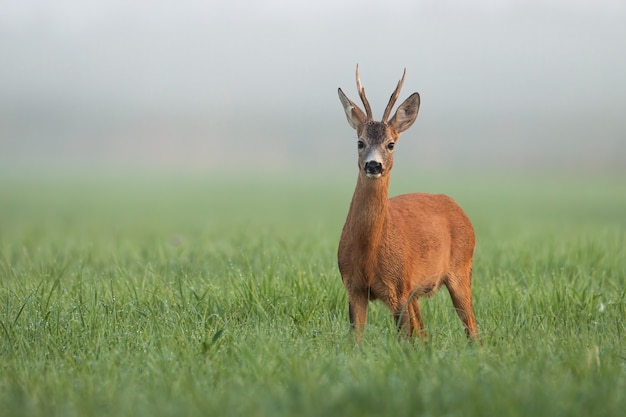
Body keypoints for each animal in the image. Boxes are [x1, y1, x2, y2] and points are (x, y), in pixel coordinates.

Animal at [336, 66, 478, 342]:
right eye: (360, 142)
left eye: (391, 144)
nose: (373, 165)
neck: (368, 253)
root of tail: (459, 209)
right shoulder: (353, 287)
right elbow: (355, 340)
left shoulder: (398, 288)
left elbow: (403, 339)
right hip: (417, 292)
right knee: (424, 333)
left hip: (461, 268)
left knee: (472, 328)